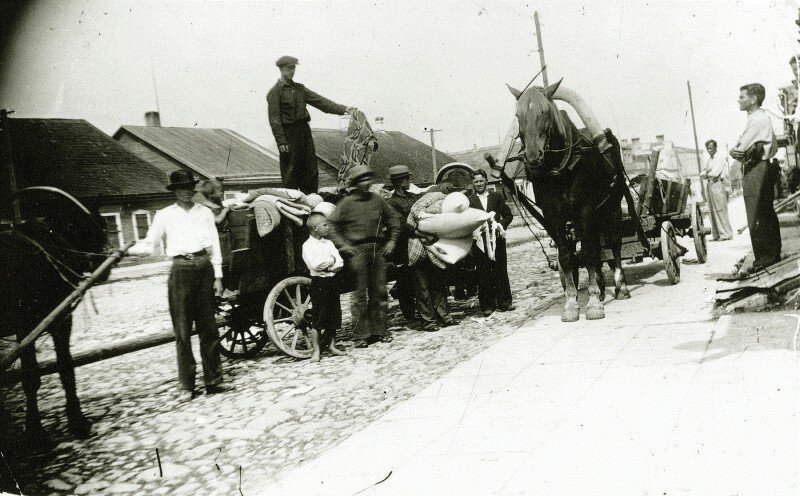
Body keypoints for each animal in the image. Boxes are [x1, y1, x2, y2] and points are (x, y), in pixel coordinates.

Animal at [506, 78, 632, 322]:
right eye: (517, 115)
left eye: (545, 112)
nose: (533, 157)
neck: (560, 169)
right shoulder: (552, 216)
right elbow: (567, 257)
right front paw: (572, 304)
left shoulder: (586, 210)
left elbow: (591, 253)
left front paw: (593, 303)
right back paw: (602, 287)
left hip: (611, 206)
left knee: (614, 245)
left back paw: (620, 287)